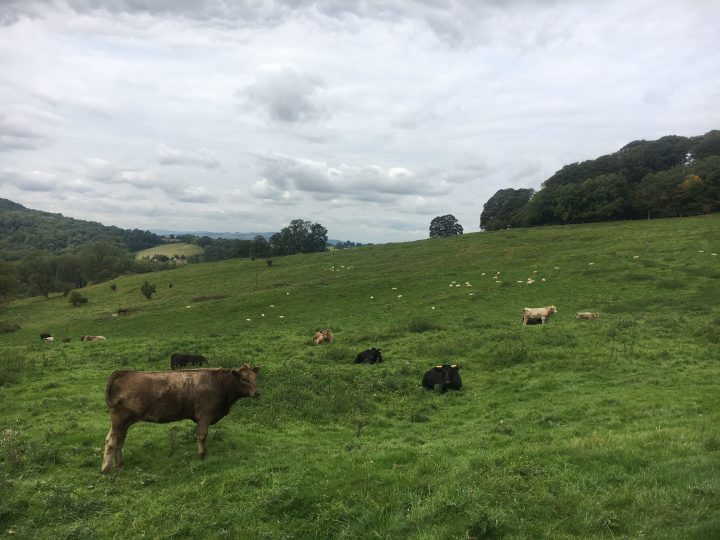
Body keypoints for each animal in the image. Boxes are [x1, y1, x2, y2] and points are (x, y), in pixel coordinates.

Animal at [100, 365, 260, 474]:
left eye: (254, 378)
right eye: (244, 379)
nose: (257, 392)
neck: (220, 383)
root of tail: (122, 372)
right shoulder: (205, 414)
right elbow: (202, 435)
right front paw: (202, 455)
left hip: (123, 423)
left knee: (118, 440)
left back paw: (119, 465)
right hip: (119, 419)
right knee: (112, 441)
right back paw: (106, 469)